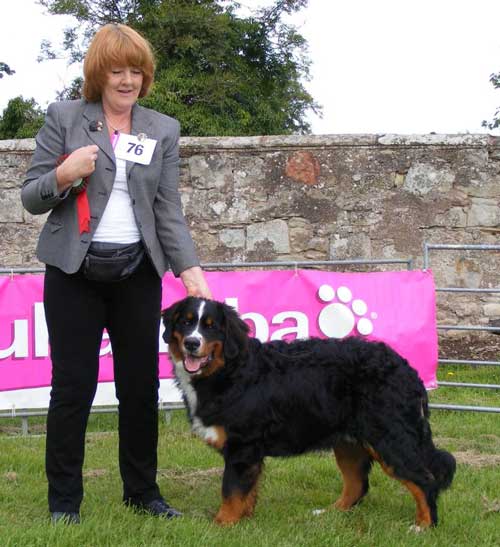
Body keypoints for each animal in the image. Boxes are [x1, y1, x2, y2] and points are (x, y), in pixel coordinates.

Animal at [162, 298, 456, 528]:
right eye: (186, 323)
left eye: (211, 326)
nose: (192, 343)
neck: (228, 371)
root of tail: (406, 368)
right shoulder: (250, 453)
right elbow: (247, 492)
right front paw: (244, 520)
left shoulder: (242, 447)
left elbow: (231, 491)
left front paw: (222, 524)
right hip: (349, 443)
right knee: (357, 485)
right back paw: (329, 513)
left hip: (389, 438)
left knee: (424, 480)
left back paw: (424, 525)